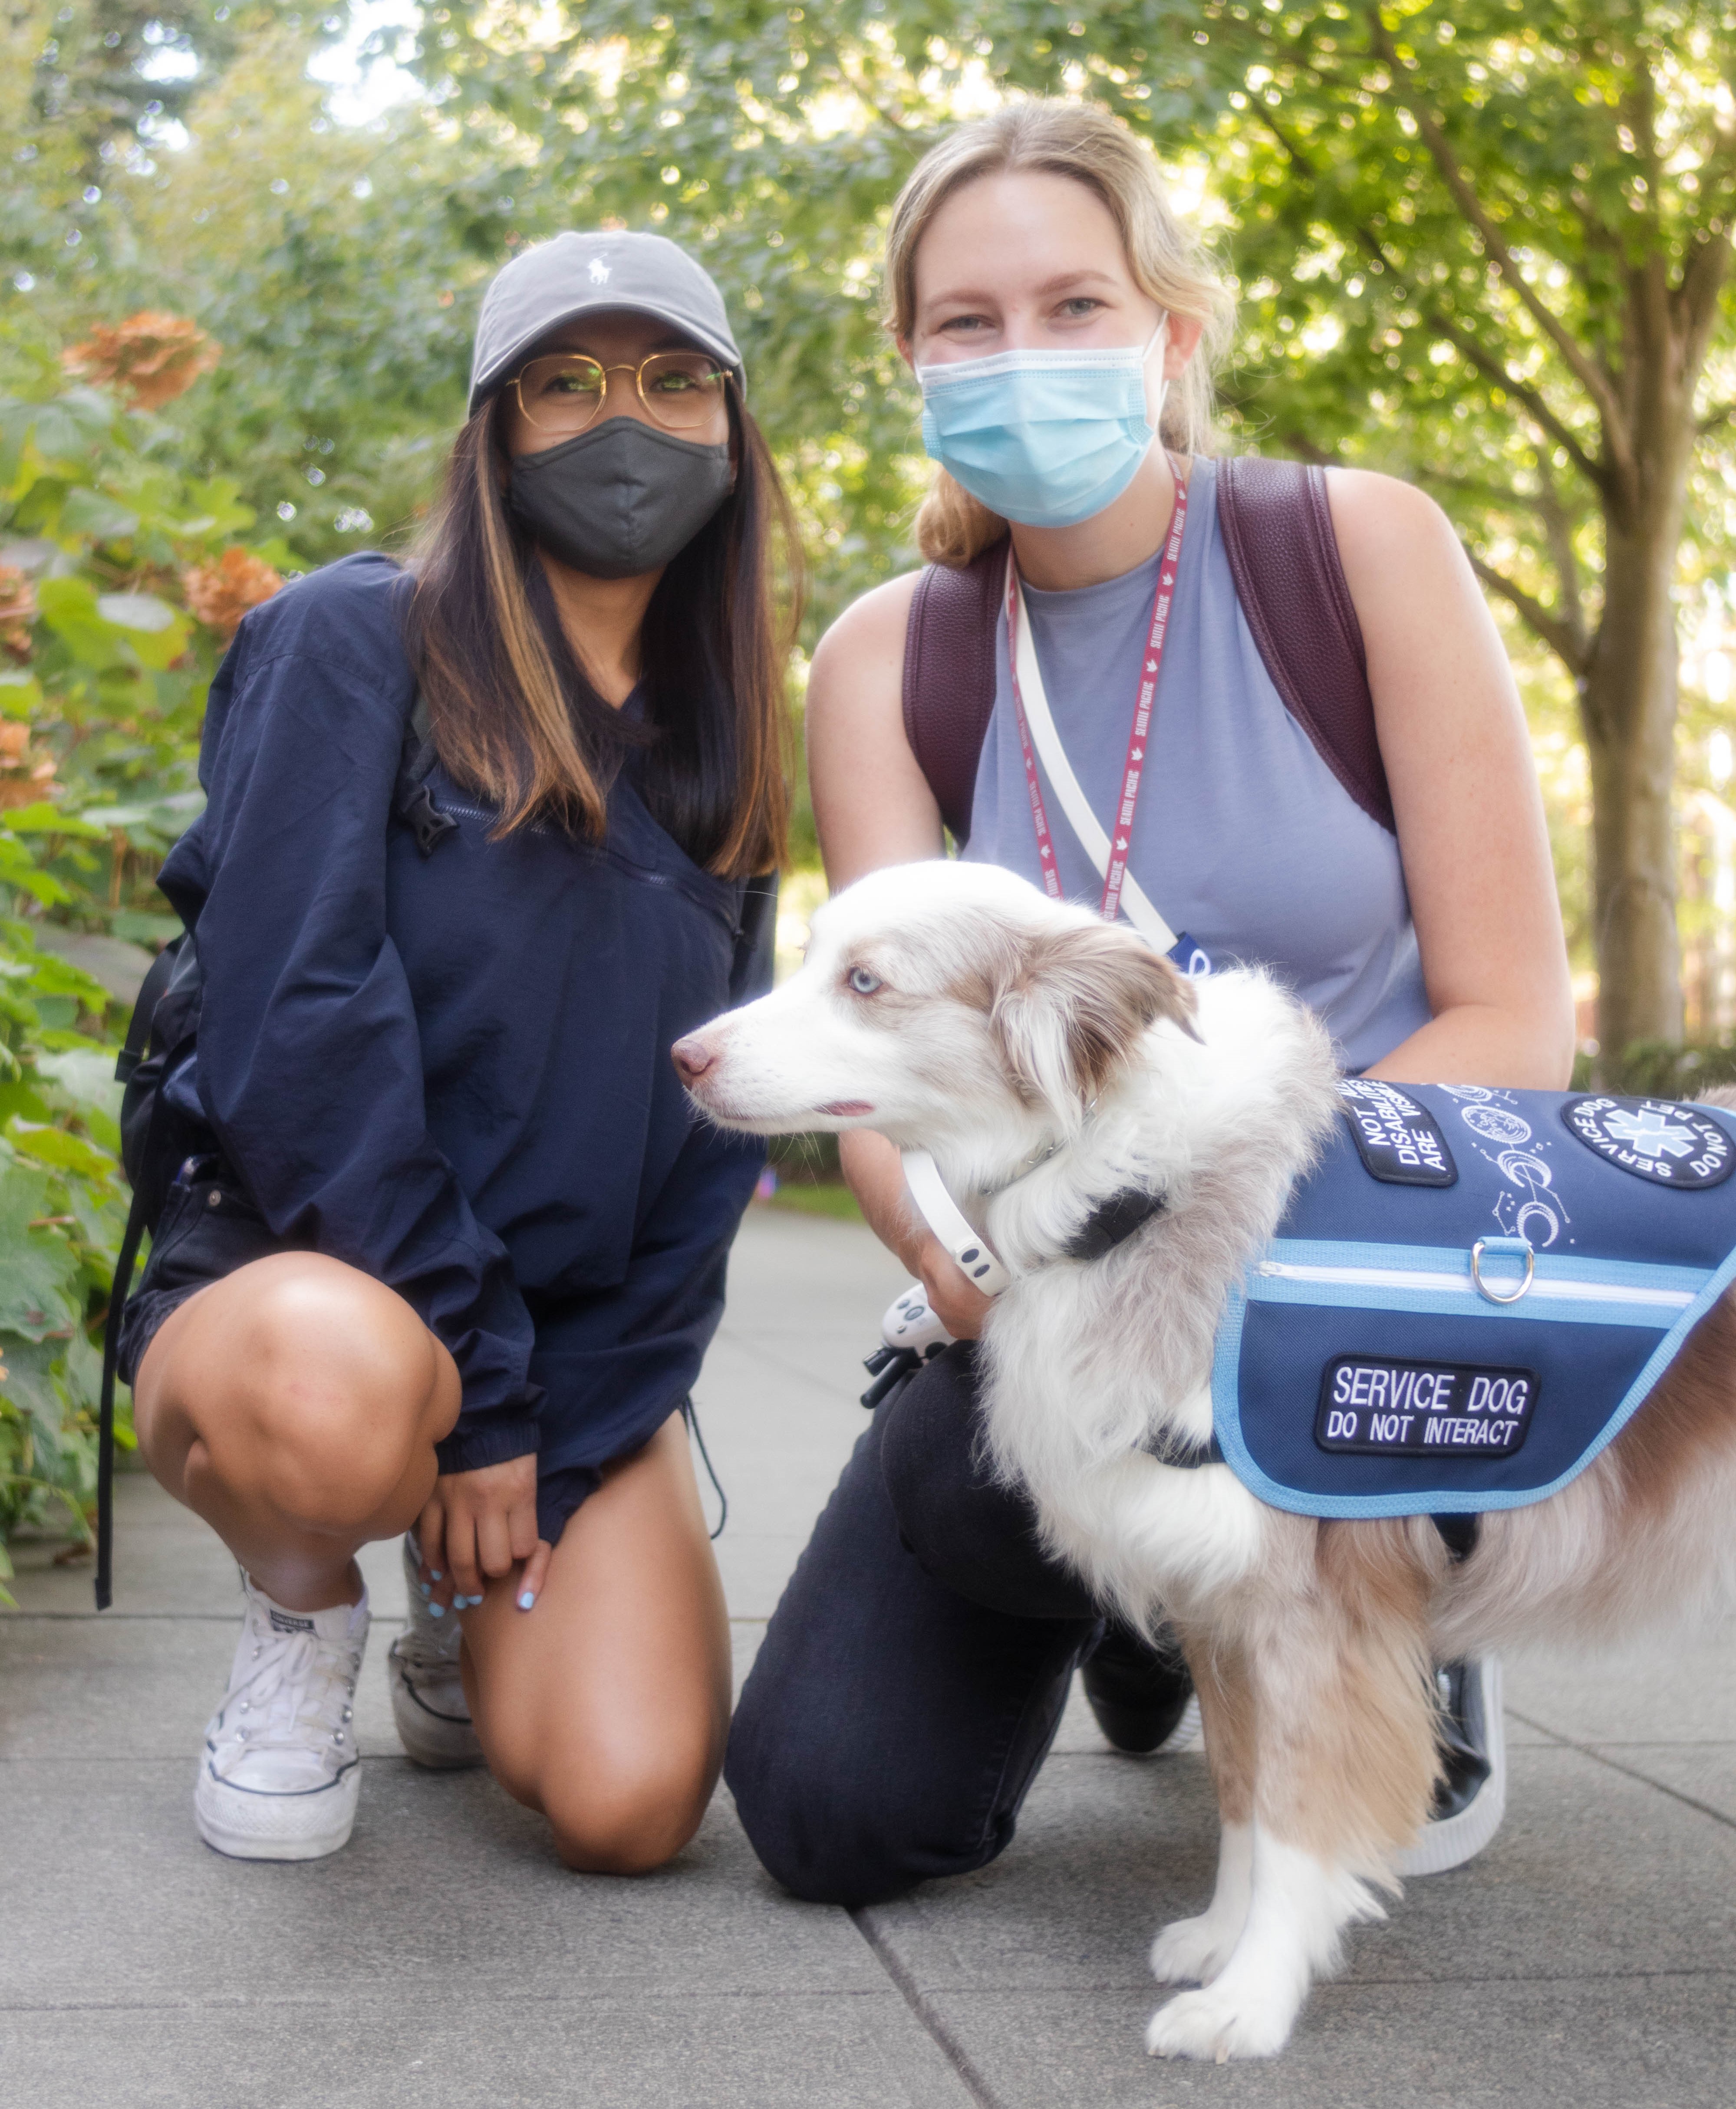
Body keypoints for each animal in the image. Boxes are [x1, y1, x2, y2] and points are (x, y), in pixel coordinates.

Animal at [671, 856, 1736, 2058]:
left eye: (864, 981)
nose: (683, 1056)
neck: (1127, 1186)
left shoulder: (1314, 1612)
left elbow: (1298, 1813)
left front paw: (1251, 2001)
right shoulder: (1222, 1600)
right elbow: (1241, 1794)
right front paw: (1223, 1937)